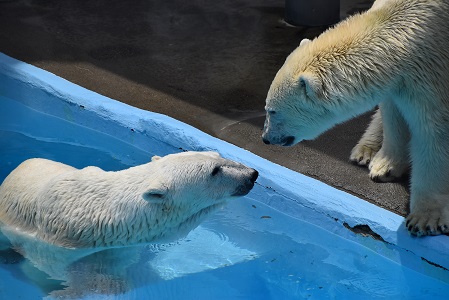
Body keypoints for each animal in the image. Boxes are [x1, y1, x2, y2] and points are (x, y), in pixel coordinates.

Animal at [260, 0, 448, 237]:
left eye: (272, 111)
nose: (265, 138)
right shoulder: (404, 78)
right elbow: (394, 113)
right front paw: (385, 167)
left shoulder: (434, 69)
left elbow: (434, 133)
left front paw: (424, 219)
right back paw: (365, 152)